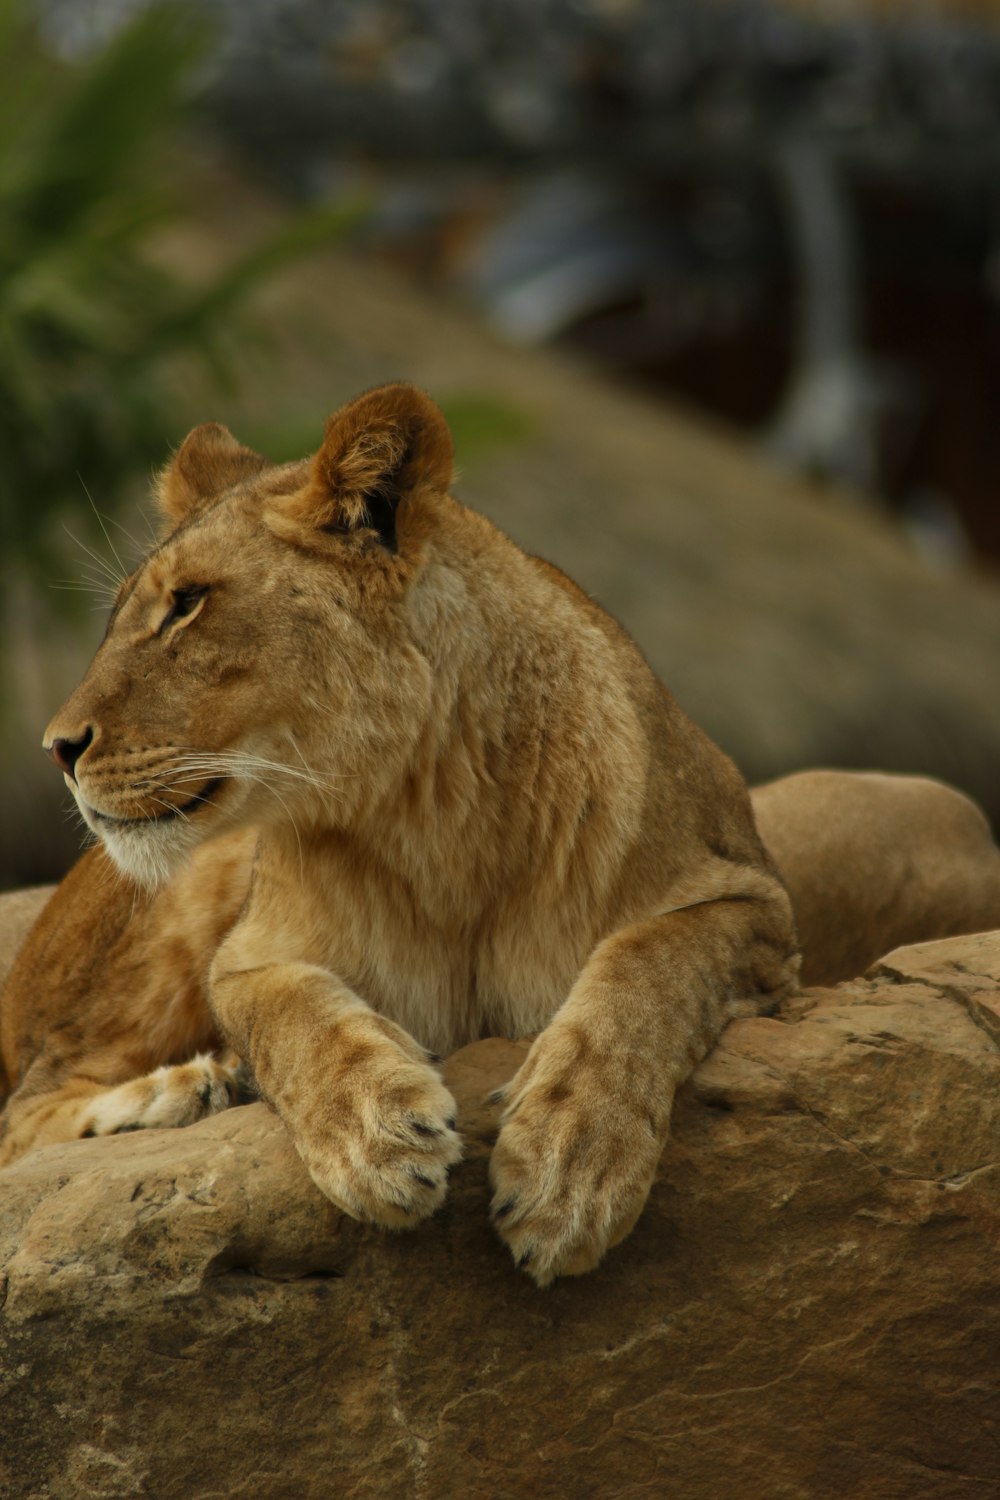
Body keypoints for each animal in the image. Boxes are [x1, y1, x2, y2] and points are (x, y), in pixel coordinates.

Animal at [1, 381, 1000, 1284]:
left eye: (188, 603)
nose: (56, 747)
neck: (428, 817)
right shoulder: (248, 952)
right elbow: (288, 1016)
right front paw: (376, 1132)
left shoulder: (756, 909)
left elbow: (647, 967)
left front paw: (570, 1164)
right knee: (28, 1111)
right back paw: (185, 1090)